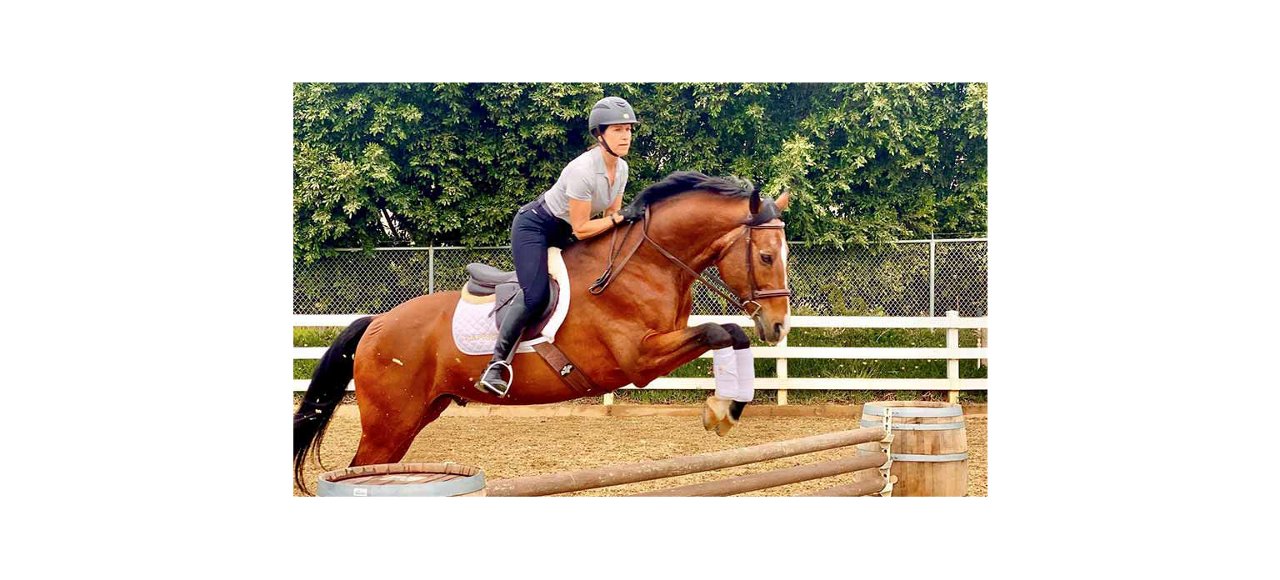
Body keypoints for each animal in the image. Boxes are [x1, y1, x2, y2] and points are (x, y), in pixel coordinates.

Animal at [293, 171, 793, 493]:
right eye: (767, 256)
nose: (778, 325)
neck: (646, 265)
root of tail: (376, 322)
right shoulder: (639, 359)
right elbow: (720, 331)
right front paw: (720, 410)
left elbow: (729, 334)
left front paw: (727, 408)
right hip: (389, 421)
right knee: (360, 468)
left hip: (417, 416)